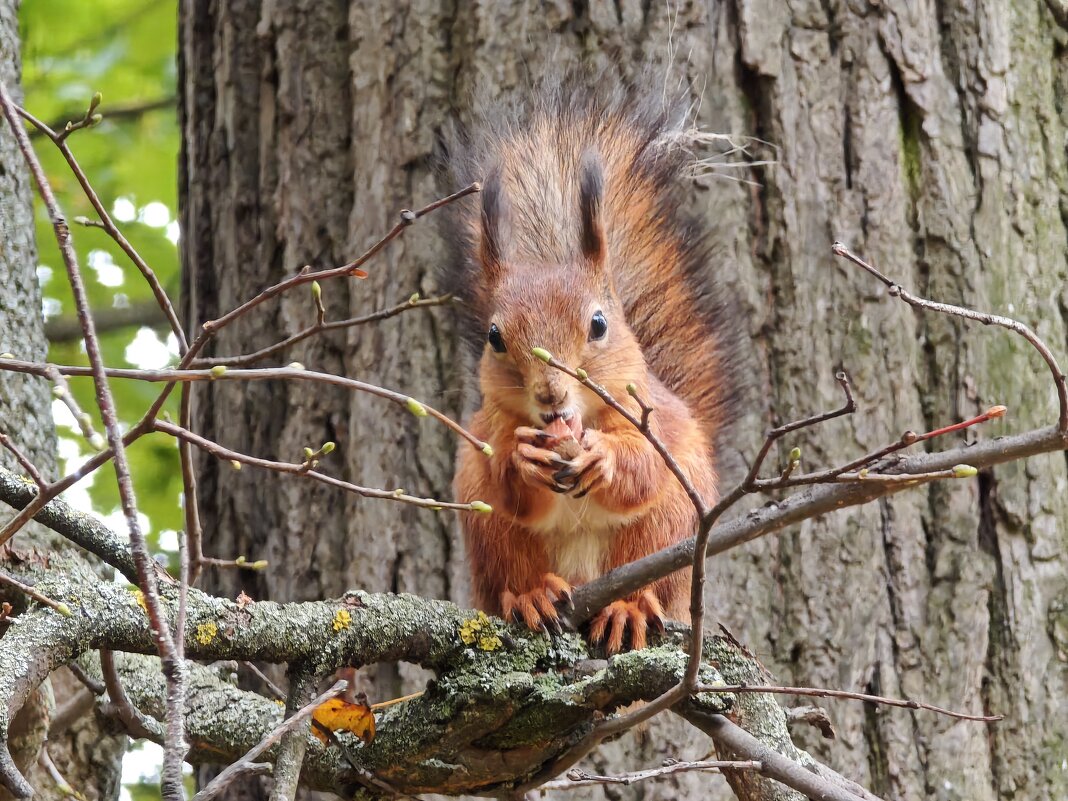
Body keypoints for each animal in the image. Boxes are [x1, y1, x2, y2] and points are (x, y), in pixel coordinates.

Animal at [444, 81, 743, 653]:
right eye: (495, 337)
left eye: (599, 324)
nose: (550, 394)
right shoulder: (489, 432)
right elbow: (507, 484)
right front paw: (523, 460)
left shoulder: (655, 422)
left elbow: (644, 468)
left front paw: (603, 457)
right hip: (494, 540)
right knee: (513, 571)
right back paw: (532, 596)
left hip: (665, 531)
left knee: (649, 575)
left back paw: (629, 607)